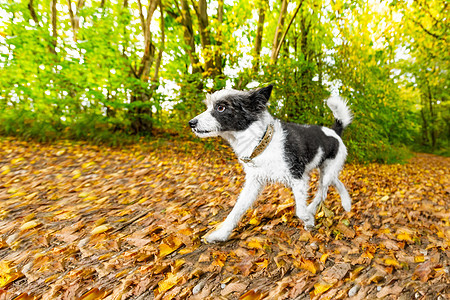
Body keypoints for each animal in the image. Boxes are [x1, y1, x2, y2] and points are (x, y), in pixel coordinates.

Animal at [188, 83, 354, 243]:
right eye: (208, 106)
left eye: (221, 107)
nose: (191, 123)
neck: (261, 141)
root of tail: (335, 131)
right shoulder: (254, 182)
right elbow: (236, 210)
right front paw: (220, 234)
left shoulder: (297, 177)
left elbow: (300, 211)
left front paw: (308, 220)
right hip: (326, 169)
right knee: (335, 182)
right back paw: (346, 203)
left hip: (328, 170)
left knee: (322, 192)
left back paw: (313, 208)